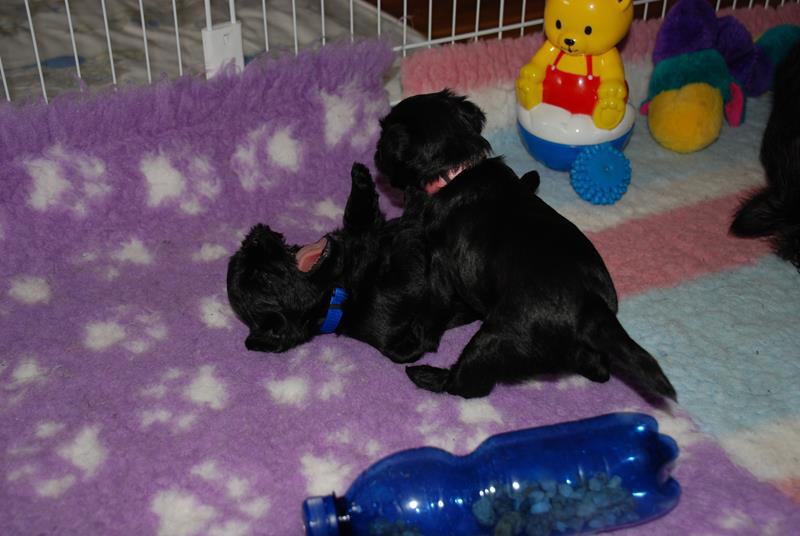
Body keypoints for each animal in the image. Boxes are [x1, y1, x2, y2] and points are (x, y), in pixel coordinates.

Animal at [375, 90, 676, 400]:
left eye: (383, 142)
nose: (375, 156)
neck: (458, 170)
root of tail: (590, 308)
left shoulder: (439, 268)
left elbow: (432, 312)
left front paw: (414, 342)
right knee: (598, 369)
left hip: (498, 338)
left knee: (468, 383)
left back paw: (426, 375)